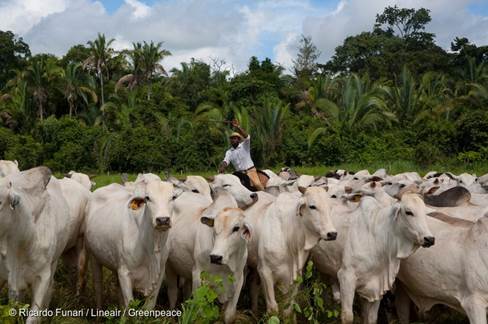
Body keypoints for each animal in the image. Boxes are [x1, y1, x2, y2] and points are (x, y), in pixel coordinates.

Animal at [84, 177, 177, 308]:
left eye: (173, 197)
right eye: (147, 197)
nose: (163, 220)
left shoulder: (159, 274)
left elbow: (149, 306)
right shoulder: (124, 273)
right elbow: (129, 305)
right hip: (94, 256)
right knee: (98, 287)